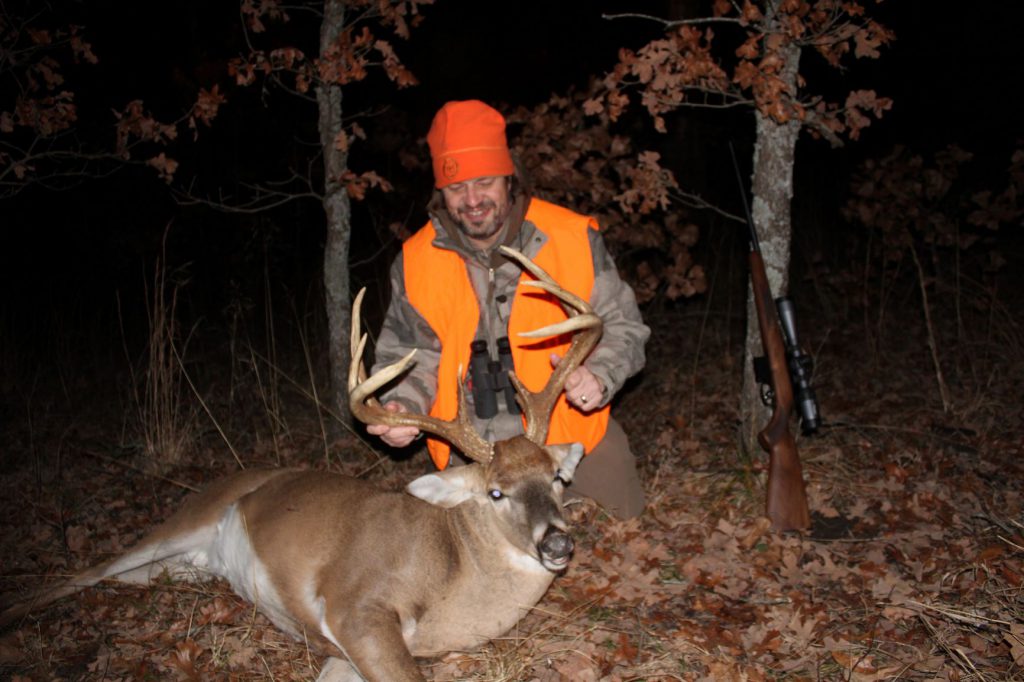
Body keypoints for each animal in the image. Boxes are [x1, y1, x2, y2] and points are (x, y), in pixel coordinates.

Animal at [0, 245, 602, 679]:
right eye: (495, 492)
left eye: (556, 477)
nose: (557, 543)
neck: (453, 573)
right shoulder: (354, 604)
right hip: (186, 519)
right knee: (82, 573)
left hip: (187, 564)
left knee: (128, 578)